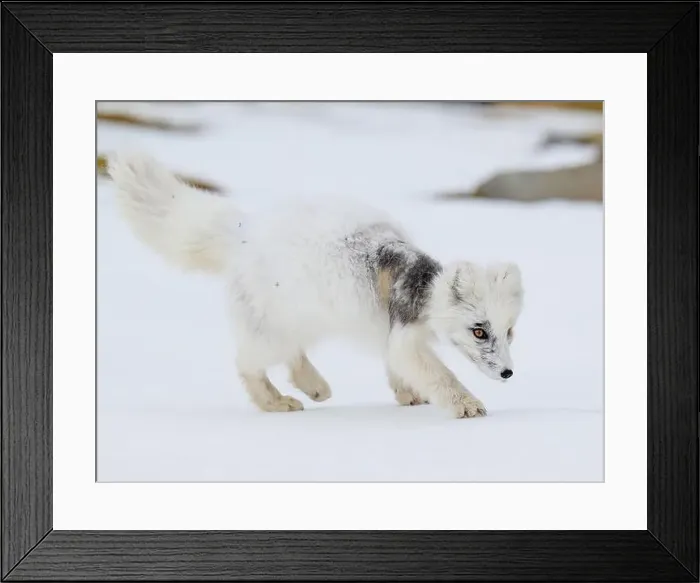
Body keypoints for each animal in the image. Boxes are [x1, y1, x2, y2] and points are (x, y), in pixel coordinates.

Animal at [107, 153, 524, 419]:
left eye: (509, 331)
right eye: (478, 331)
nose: (508, 374)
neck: (420, 284)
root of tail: (246, 229)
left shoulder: (389, 331)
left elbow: (396, 364)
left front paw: (408, 393)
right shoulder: (405, 333)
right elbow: (437, 373)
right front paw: (466, 405)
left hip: (301, 318)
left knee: (293, 358)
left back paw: (315, 386)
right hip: (269, 330)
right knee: (246, 363)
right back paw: (276, 403)